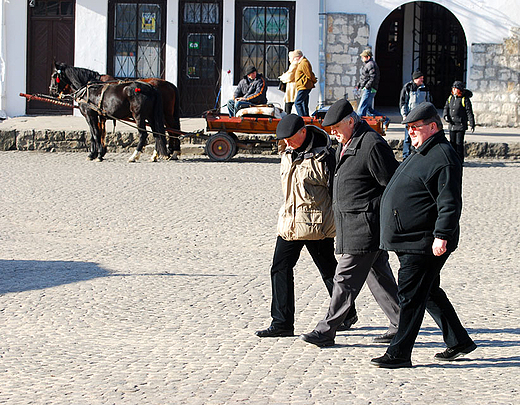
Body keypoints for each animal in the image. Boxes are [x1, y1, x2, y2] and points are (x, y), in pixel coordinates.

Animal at [50, 61, 181, 159]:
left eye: (54, 76)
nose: (52, 91)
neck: (89, 89)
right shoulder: (100, 116)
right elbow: (100, 132)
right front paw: (100, 152)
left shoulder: (90, 114)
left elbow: (95, 133)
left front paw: (95, 154)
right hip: (153, 115)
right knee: (160, 131)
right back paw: (161, 153)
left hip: (146, 115)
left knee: (158, 131)